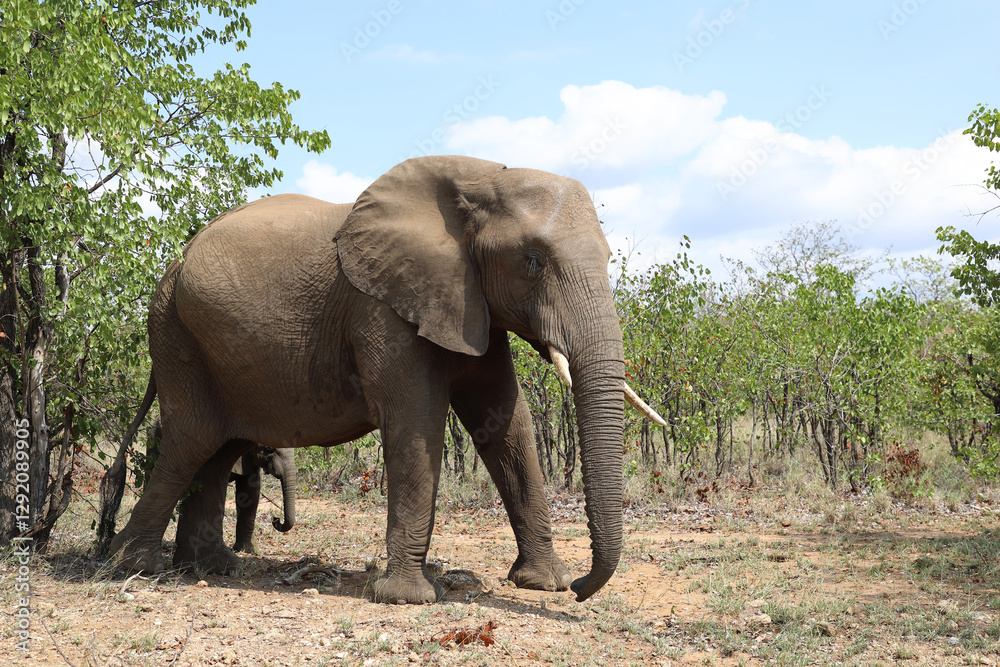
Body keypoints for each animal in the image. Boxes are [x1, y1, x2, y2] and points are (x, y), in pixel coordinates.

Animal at [106, 155, 665, 604]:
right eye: (532, 261)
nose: (581, 590)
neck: (481, 177)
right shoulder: (383, 308)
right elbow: (416, 422)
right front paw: (408, 598)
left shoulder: (470, 304)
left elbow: (507, 424)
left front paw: (544, 584)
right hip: (175, 333)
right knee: (191, 440)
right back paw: (135, 567)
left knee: (218, 449)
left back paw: (212, 567)